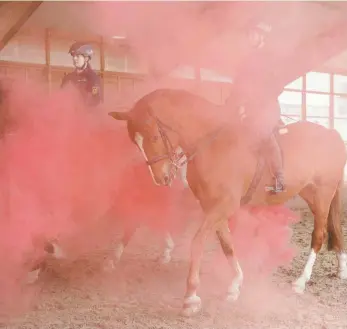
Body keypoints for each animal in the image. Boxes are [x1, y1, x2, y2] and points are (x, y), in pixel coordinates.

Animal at [111, 87, 347, 316]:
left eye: (153, 137)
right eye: (135, 142)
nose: (161, 178)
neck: (212, 144)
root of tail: (332, 133)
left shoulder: (224, 205)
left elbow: (197, 242)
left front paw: (190, 298)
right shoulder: (212, 206)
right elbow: (227, 243)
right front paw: (235, 285)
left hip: (323, 194)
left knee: (319, 235)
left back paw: (301, 282)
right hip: (310, 193)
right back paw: (341, 267)